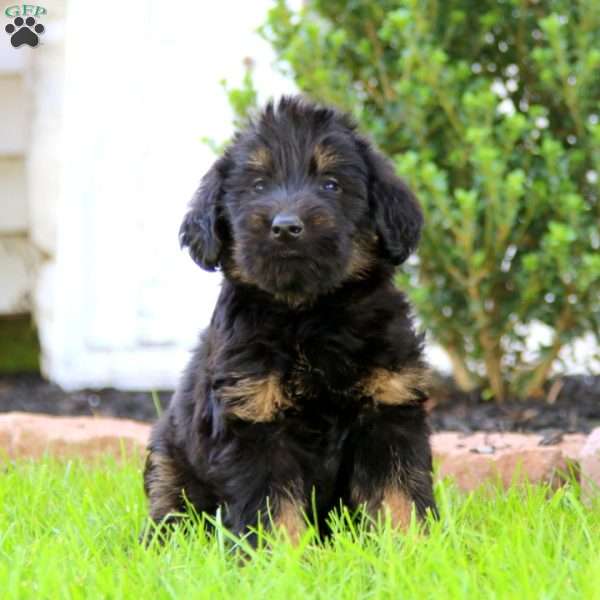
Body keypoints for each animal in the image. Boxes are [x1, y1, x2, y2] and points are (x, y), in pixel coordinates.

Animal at [145, 96, 436, 540]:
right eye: (258, 186)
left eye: (331, 184)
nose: (285, 227)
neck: (310, 314)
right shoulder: (254, 420)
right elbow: (273, 509)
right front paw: (282, 556)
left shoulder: (390, 408)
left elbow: (399, 494)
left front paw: (411, 547)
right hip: (167, 456)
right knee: (171, 510)